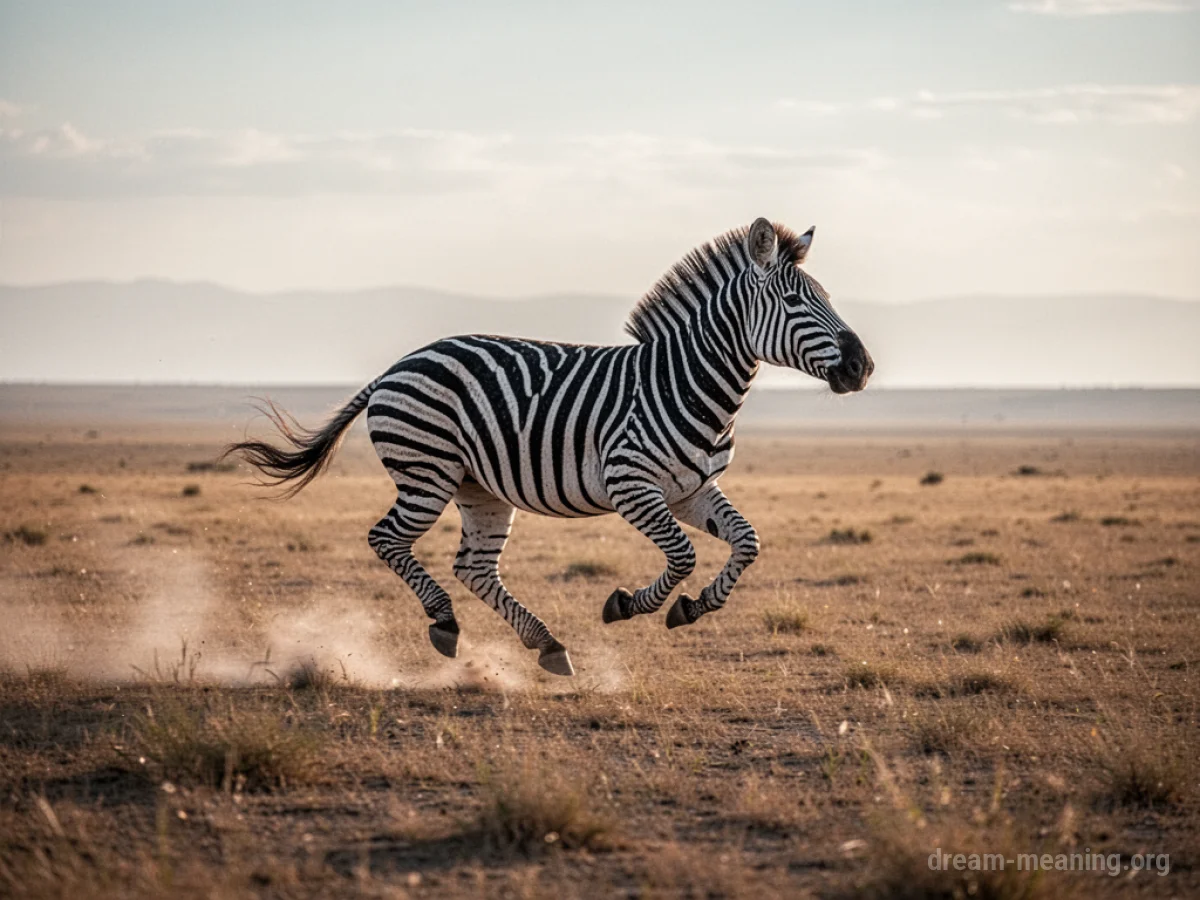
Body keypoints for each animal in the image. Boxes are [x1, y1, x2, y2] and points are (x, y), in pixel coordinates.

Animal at [225, 218, 873, 677]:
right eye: (795, 302)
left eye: (827, 297)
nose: (862, 367)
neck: (684, 381)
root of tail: (398, 364)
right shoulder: (630, 484)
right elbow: (683, 556)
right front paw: (626, 604)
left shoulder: (691, 490)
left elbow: (747, 542)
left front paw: (691, 609)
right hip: (426, 471)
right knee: (387, 539)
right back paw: (445, 623)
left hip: (479, 489)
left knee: (475, 567)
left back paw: (548, 645)